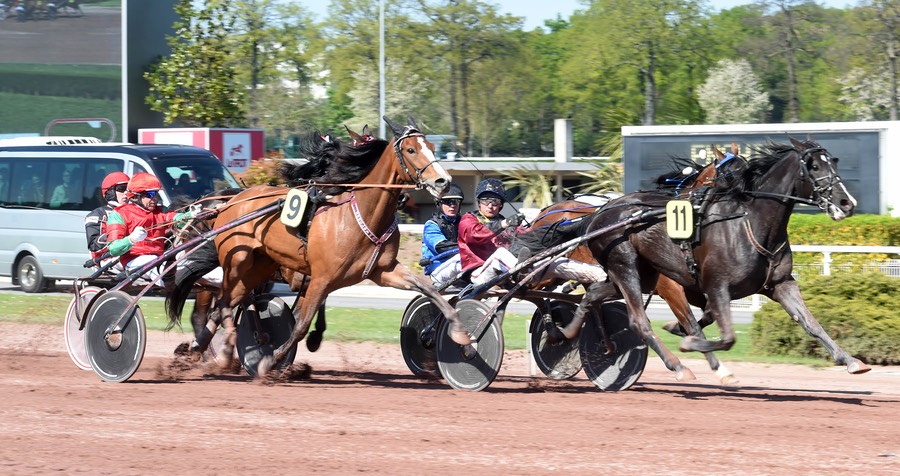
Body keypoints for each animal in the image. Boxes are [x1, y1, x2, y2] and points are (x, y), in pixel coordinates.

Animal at [516, 138, 868, 380]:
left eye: (834, 163)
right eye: (814, 166)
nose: (846, 202)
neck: (749, 222)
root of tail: (598, 212)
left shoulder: (778, 284)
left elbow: (810, 323)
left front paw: (851, 360)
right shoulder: (699, 286)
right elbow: (715, 333)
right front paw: (705, 357)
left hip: (625, 275)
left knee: (591, 298)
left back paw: (563, 335)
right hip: (623, 267)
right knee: (635, 320)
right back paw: (677, 364)